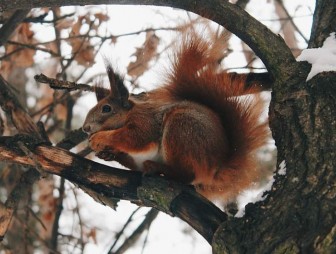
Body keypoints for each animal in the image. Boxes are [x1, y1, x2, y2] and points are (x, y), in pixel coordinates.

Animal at [82, 32, 270, 202]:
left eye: (106, 108)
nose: (85, 128)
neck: (127, 115)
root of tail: (217, 168)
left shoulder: (145, 121)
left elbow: (135, 137)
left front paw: (99, 139)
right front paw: (109, 154)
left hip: (181, 128)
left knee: (186, 175)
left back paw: (158, 168)